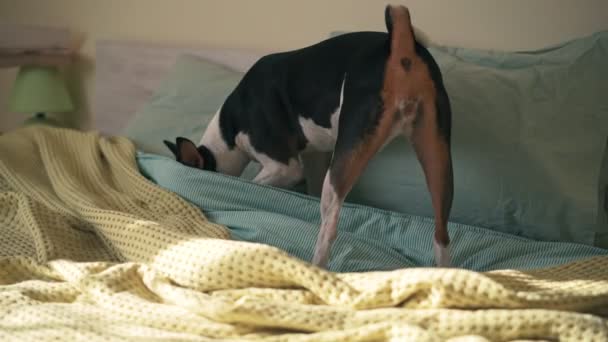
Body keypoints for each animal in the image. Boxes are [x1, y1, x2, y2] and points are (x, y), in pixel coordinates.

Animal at [164, 4, 454, 268]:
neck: (229, 131)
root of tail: (399, 47)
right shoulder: (316, 158)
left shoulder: (285, 167)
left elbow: (254, 184)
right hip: (437, 159)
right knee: (441, 234)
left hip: (342, 169)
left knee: (329, 228)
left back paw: (317, 268)